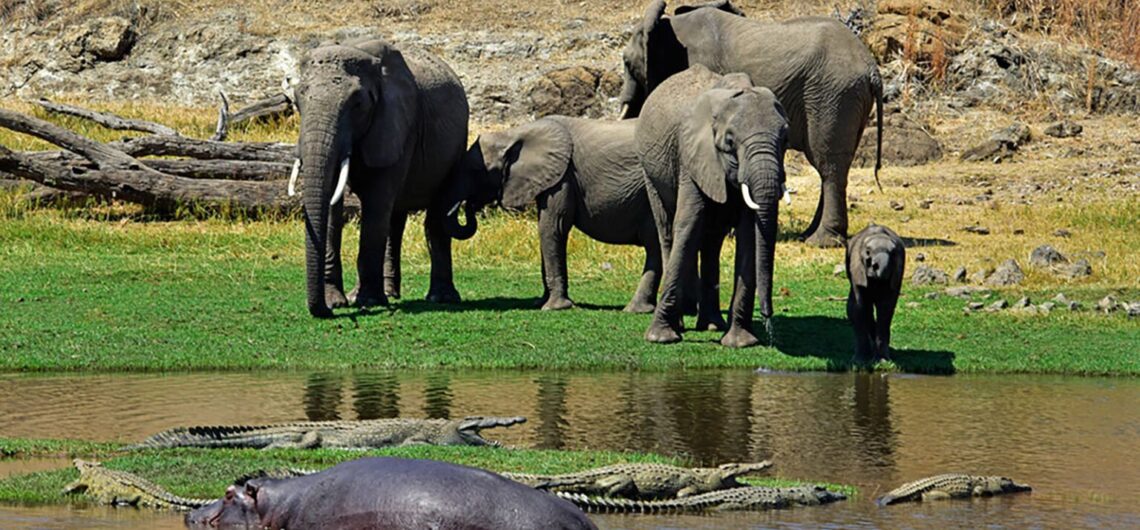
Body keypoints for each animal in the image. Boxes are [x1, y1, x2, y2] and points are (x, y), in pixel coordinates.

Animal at [294, 39, 471, 319]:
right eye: (296, 101)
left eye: (357, 104)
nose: (325, 311)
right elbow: (333, 205)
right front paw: (337, 302)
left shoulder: (398, 124)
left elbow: (376, 206)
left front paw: (366, 301)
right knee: (394, 220)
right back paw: (390, 293)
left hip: (456, 147)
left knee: (434, 216)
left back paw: (440, 298)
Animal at [442, 115, 661, 312]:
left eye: (476, 171)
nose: (470, 204)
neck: (513, 134)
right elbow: (546, 230)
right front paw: (540, 302)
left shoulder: (564, 177)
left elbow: (552, 227)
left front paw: (554, 307)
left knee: (654, 246)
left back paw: (635, 309)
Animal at [624, 0, 880, 248]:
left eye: (626, 62)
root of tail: (871, 67)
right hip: (846, 99)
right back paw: (809, 234)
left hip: (832, 97)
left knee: (828, 164)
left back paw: (821, 242)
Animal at [638, 64, 788, 346]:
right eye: (729, 143)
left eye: (785, 138)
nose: (768, 318)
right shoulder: (692, 157)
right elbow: (687, 224)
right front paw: (661, 338)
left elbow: (749, 235)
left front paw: (741, 343)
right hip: (650, 172)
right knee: (668, 231)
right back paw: (682, 325)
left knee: (711, 241)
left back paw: (711, 325)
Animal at [843, 222, 902, 364]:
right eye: (868, 252)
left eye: (893, 253)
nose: (875, 266)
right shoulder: (857, 270)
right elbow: (859, 308)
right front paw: (860, 361)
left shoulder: (897, 273)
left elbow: (885, 310)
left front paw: (883, 361)